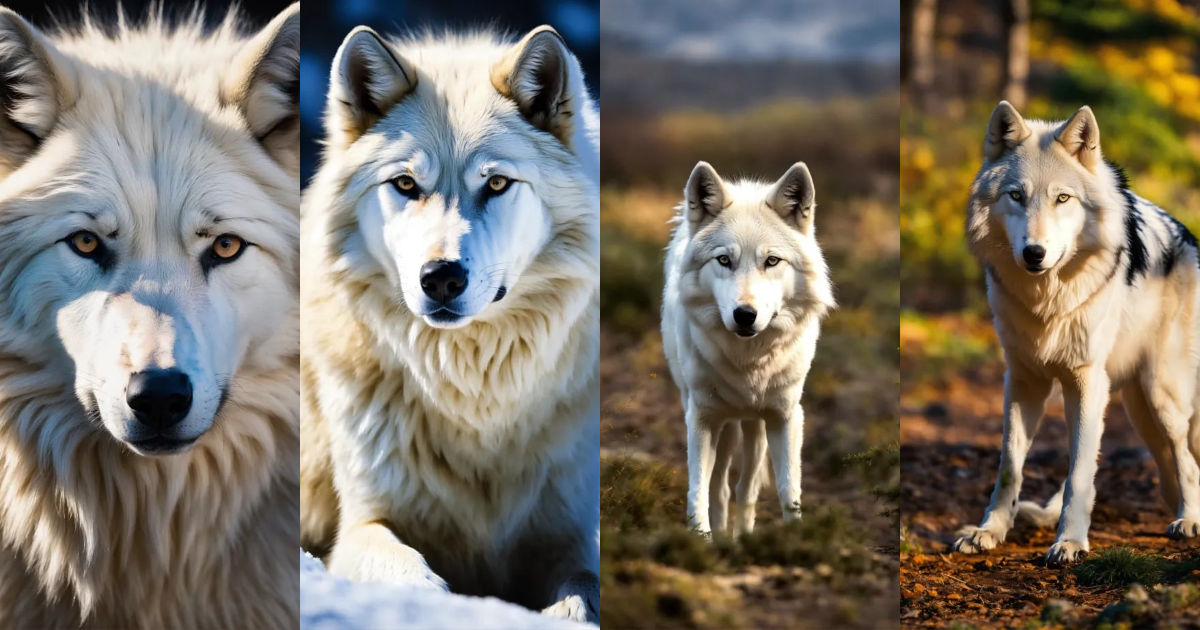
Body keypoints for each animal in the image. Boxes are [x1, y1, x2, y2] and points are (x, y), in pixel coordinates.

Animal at [299, 25, 600, 622]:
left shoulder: (572, 531)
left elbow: (583, 587)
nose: (440, 278)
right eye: (406, 184)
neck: (471, 392)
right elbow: (413, 577)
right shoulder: (362, 525)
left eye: (498, 184)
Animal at [662, 161, 834, 536]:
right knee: (722, 487)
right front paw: (703, 539)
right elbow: (699, 490)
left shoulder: (786, 416)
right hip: (719, 421)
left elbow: (789, 490)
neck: (749, 362)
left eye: (772, 261)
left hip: (757, 425)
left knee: (747, 486)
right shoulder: (701, 418)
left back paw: (743, 534)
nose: (744, 315)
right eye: (724, 260)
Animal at [953, 101, 1200, 566]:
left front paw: (1069, 541)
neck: (1047, 300)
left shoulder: (1085, 383)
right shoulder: (1023, 380)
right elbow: (1009, 467)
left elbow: (1080, 472)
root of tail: (1189, 237)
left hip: (1162, 394)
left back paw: (1188, 520)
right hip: (1138, 408)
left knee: (1186, 458)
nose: (1034, 253)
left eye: (1062, 198)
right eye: (1016, 195)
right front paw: (989, 531)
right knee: (1170, 464)